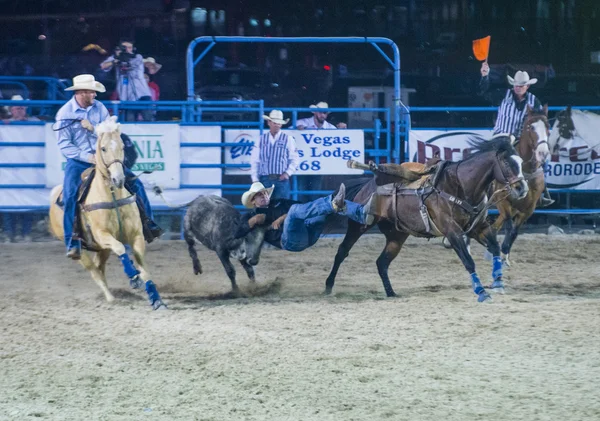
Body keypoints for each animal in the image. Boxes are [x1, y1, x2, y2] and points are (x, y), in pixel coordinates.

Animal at [49, 116, 165, 310]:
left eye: (122, 146)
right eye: (103, 148)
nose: (118, 179)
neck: (112, 196)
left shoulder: (136, 235)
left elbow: (144, 269)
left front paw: (156, 299)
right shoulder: (102, 234)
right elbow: (120, 248)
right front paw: (133, 276)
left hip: (101, 249)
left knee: (100, 267)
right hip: (82, 251)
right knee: (94, 271)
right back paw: (110, 297)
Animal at [326, 135, 528, 302]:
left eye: (521, 162)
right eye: (506, 163)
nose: (522, 189)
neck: (460, 186)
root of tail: (366, 185)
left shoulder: (478, 228)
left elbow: (495, 247)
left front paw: (498, 283)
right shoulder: (452, 231)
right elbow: (468, 261)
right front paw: (481, 292)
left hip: (397, 235)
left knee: (382, 262)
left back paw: (391, 293)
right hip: (359, 226)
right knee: (342, 251)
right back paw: (328, 287)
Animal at [490, 104, 552, 266]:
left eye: (548, 126)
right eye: (530, 127)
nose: (542, 153)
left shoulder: (528, 209)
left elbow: (514, 232)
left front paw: (505, 254)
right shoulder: (503, 202)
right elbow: (509, 227)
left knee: (493, 227)